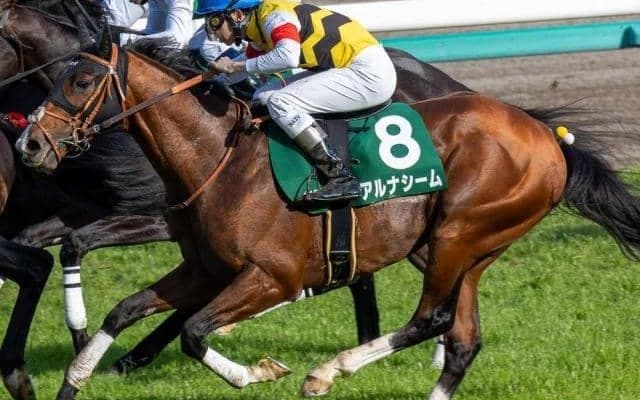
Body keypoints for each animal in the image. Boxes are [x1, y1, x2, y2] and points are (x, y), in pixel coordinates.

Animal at [16, 33, 640, 400]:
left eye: (81, 80)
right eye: (53, 76)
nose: (29, 144)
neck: (217, 156)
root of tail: (548, 137)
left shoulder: (273, 277)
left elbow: (194, 333)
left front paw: (260, 372)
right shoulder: (204, 270)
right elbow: (124, 310)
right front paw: (76, 378)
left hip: (459, 234)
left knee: (431, 319)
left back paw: (328, 371)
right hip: (467, 247)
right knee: (462, 340)